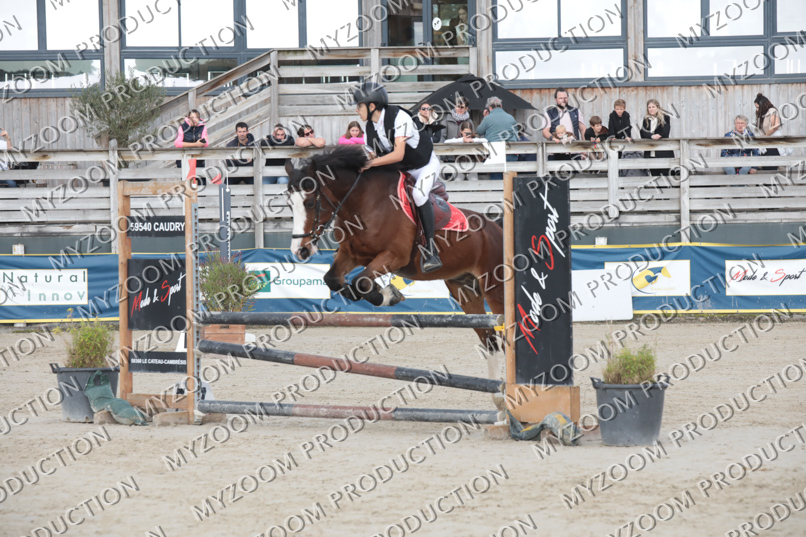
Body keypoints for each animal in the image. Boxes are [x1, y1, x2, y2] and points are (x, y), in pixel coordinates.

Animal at [284, 145, 505, 353]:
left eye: (309, 203)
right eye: (289, 204)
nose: (299, 251)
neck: (362, 202)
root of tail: (497, 229)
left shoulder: (395, 256)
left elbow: (361, 281)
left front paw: (387, 295)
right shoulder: (352, 254)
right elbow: (333, 279)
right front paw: (379, 293)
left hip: (494, 288)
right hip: (465, 289)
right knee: (490, 341)